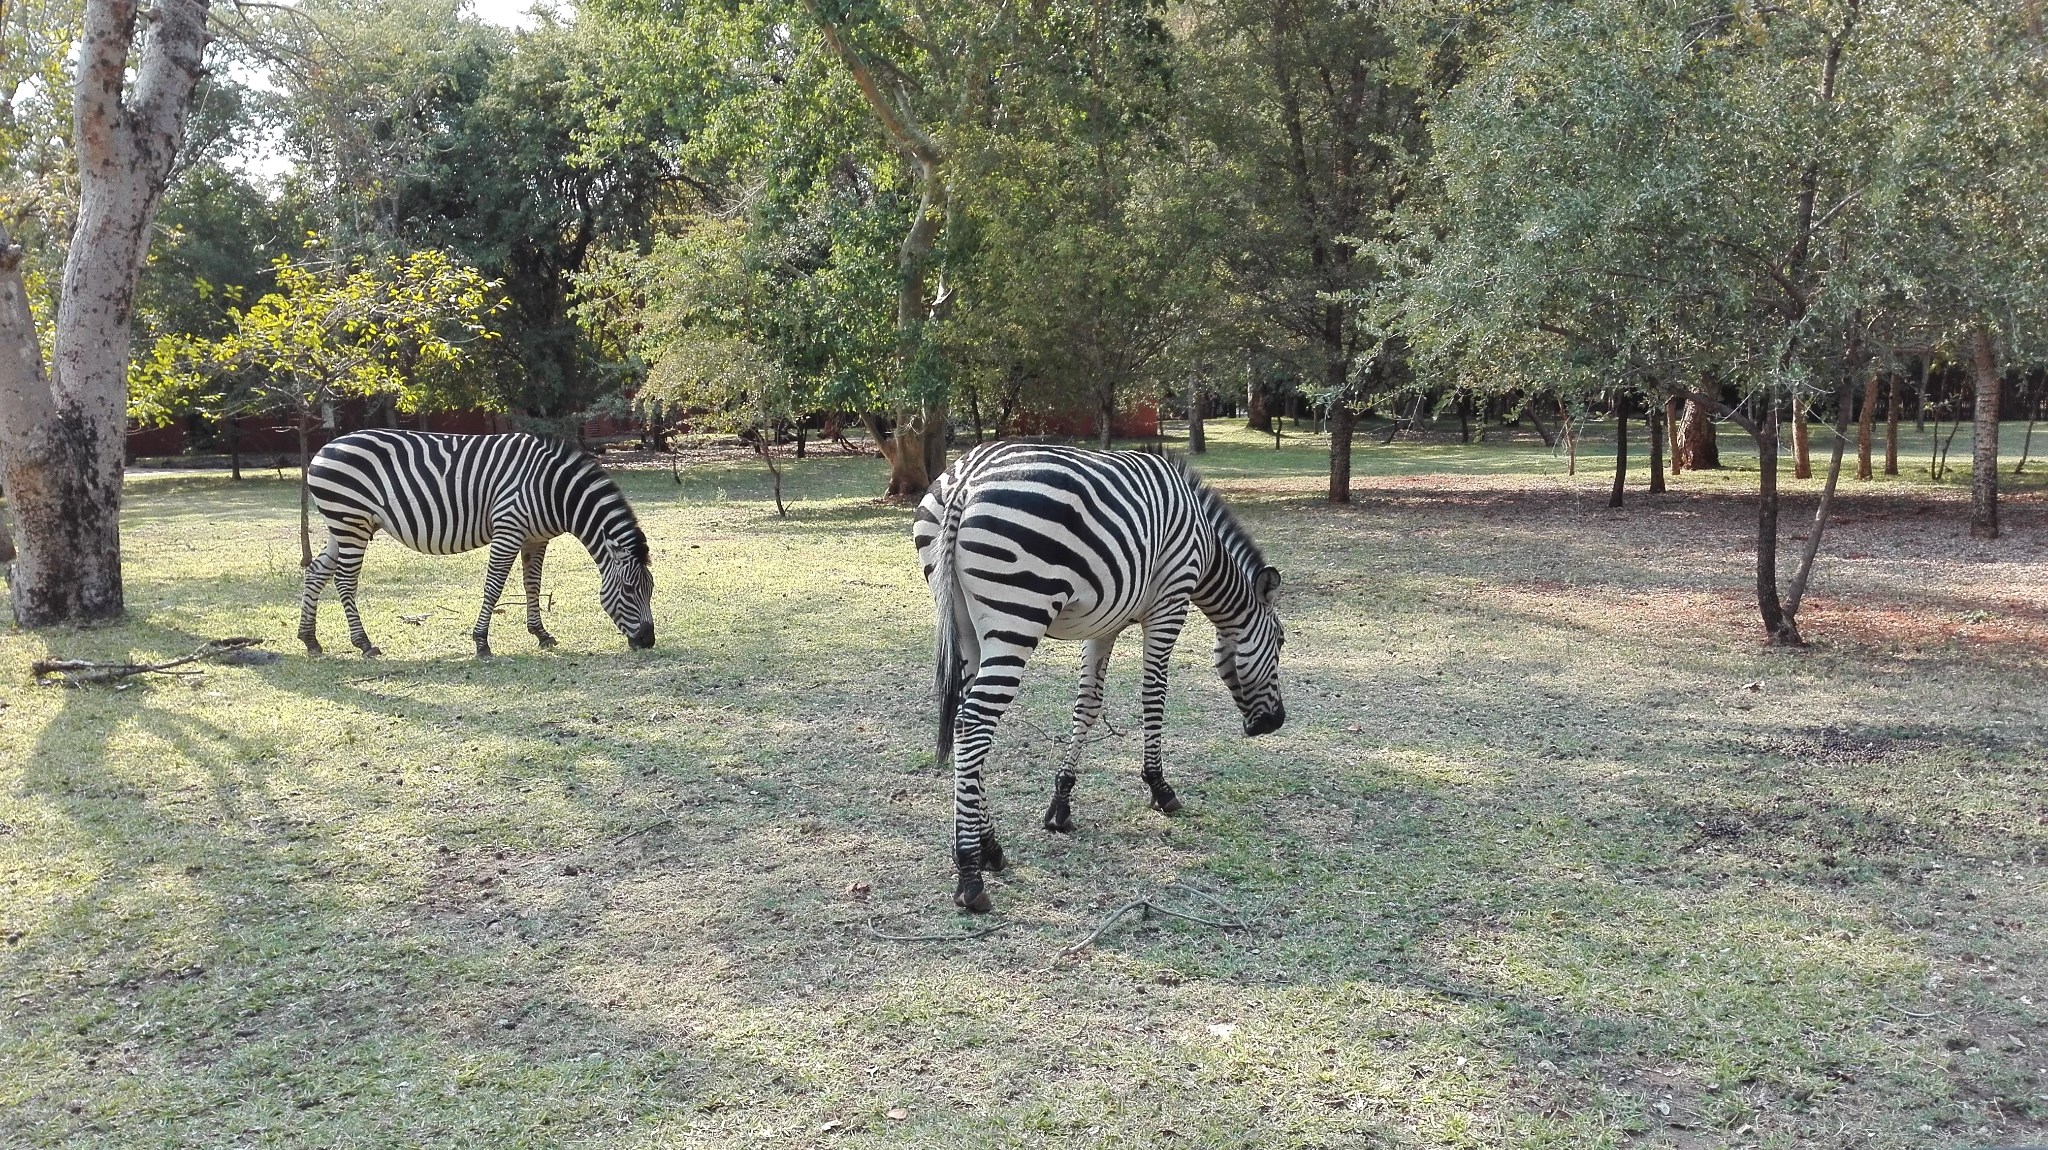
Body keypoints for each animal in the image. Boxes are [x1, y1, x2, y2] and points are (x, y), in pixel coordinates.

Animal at [296, 425, 655, 654]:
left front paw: (540, 634)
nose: (648, 641)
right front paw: (481, 642)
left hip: (342, 526)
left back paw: (310, 640)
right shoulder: (509, 529)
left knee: (316, 572)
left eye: (650, 590)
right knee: (344, 581)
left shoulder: (535, 539)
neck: (553, 491)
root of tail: (324, 449)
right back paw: (364, 643)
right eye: (628, 590)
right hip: (351, 522)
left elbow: (532, 585)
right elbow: (494, 586)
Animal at [913, 439, 1277, 912]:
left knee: (962, 718)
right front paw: (1160, 788)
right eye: (1281, 643)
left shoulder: (1105, 622)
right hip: (1018, 615)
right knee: (973, 723)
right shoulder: (1170, 602)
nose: (1274, 723)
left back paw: (990, 848)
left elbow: (1088, 705)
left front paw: (1061, 803)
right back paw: (970, 873)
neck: (1204, 543)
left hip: (965, 625)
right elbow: (1154, 695)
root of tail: (967, 478)